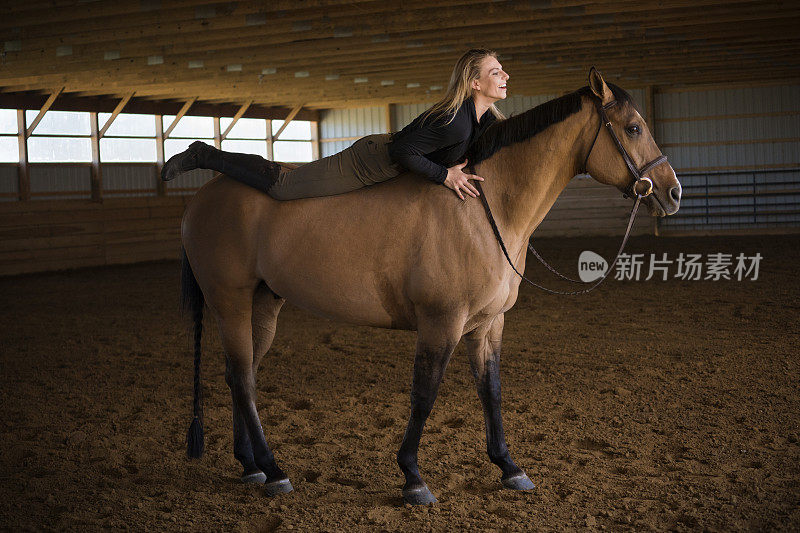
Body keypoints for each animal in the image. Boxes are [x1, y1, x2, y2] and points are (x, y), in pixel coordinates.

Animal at [175, 67, 680, 502]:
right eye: (634, 128)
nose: (672, 192)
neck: (483, 207)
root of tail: (199, 200)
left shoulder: (487, 325)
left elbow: (491, 391)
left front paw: (509, 467)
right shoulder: (442, 322)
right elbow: (425, 393)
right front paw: (413, 477)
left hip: (264, 304)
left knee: (241, 376)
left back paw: (251, 466)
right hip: (230, 301)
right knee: (242, 375)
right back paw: (274, 470)